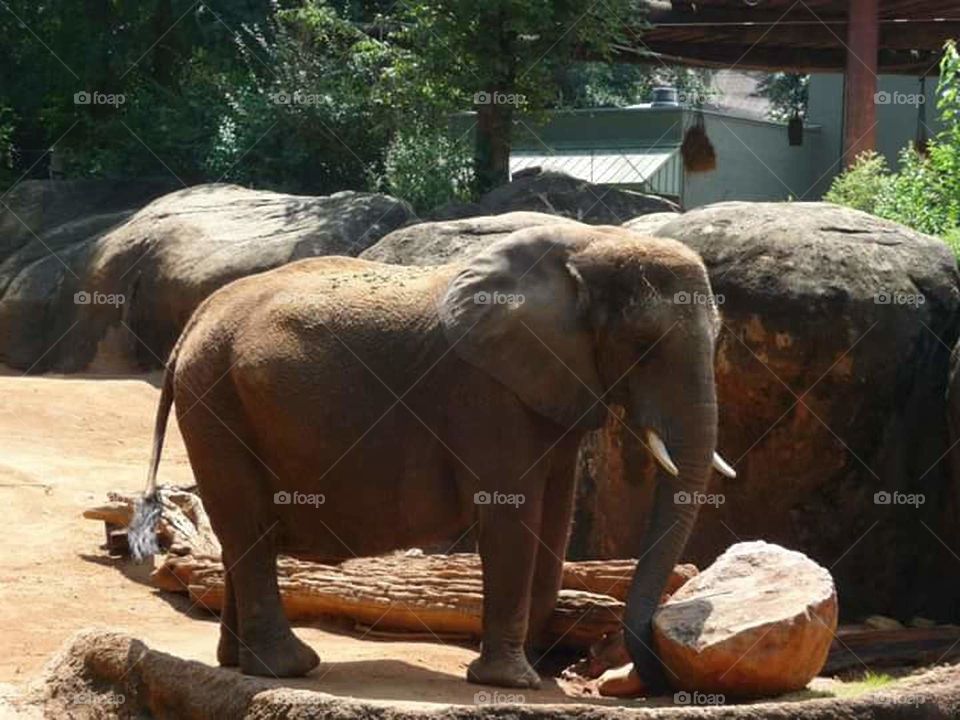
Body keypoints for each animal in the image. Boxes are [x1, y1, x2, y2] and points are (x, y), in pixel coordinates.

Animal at [128, 222, 735, 690]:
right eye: (643, 346)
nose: (651, 675)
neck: (591, 243)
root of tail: (191, 326)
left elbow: (555, 519)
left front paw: (534, 666)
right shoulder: (485, 392)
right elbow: (512, 516)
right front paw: (513, 681)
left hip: (218, 396)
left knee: (239, 530)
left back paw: (239, 663)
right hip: (217, 401)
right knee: (247, 525)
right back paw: (289, 668)